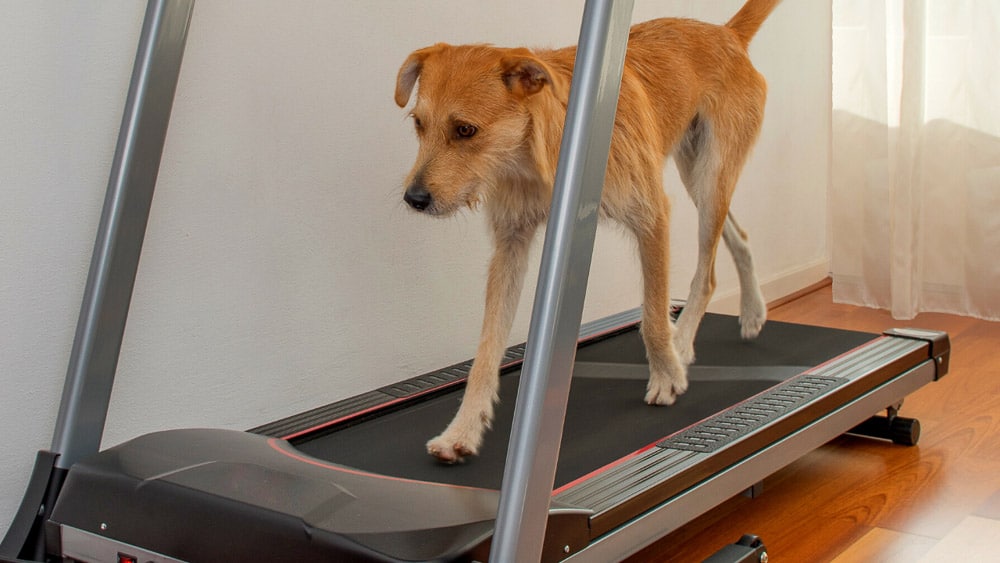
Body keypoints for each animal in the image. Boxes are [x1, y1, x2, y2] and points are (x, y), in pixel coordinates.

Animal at [394, 0, 776, 462]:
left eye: (465, 129)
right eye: (418, 124)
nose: (414, 198)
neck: (544, 147)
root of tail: (727, 34)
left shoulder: (652, 217)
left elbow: (652, 315)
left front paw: (667, 376)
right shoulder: (511, 246)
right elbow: (486, 351)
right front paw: (463, 430)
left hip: (711, 175)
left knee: (707, 272)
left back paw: (682, 343)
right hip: (699, 177)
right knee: (739, 237)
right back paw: (752, 311)